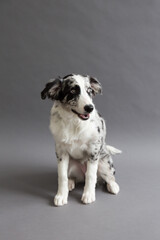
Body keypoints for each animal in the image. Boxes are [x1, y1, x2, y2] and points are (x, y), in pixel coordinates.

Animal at [41, 73, 121, 206]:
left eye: (89, 91)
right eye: (73, 91)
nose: (89, 107)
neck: (74, 122)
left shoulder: (93, 151)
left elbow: (91, 176)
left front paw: (88, 195)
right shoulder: (61, 152)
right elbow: (62, 176)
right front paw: (61, 195)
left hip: (104, 163)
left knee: (109, 177)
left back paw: (113, 186)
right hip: (71, 164)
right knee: (72, 177)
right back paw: (70, 183)